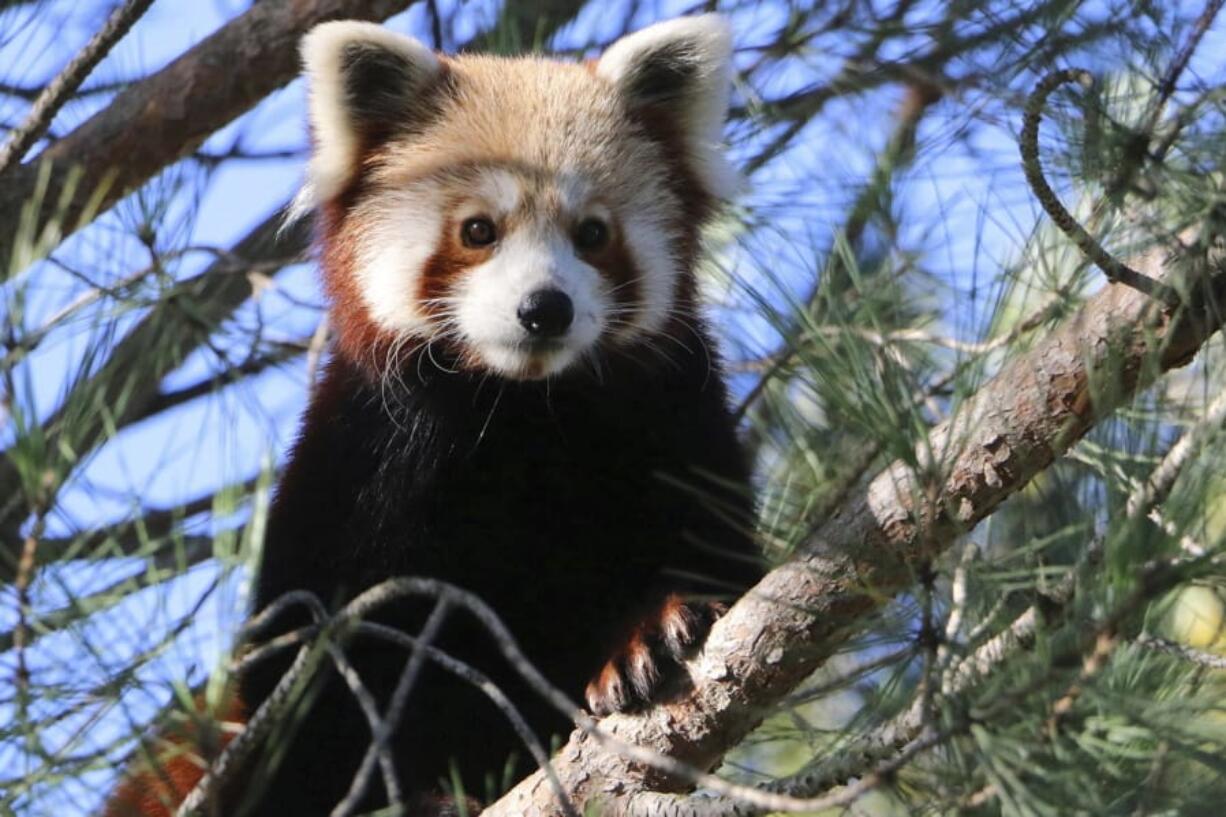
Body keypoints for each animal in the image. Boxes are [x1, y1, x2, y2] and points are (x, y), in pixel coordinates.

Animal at [107, 14, 755, 814]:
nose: (544, 308)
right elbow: (320, 682)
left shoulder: (675, 413)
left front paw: (651, 634)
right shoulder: (358, 463)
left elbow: (716, 546)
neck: (518, 407)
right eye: (478, 230)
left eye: (592, 234)